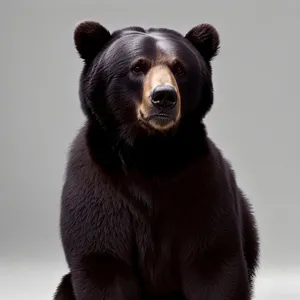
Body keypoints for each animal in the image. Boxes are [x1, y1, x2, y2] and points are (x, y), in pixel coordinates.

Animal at [54, 21, 260, 300]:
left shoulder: (202, 183)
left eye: (179, 68)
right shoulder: (99, 188)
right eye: (137, 67)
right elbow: (103, 260)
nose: (164, 97)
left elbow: (212, 260)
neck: (151, 155)